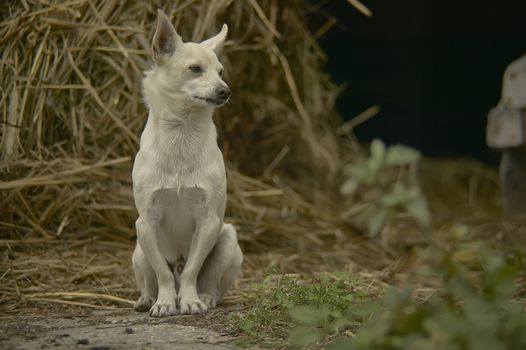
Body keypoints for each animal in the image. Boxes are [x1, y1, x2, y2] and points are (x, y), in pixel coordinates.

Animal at [134, 10, 245, 318]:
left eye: (220, 72)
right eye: (195, 69)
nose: (225, 91)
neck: (182, 133)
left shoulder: (208, 222)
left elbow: (192, 271)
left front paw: (190, 300)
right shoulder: (145, 222)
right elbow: (162, 272)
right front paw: (164, 302)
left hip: (228, 241)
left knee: (210, 282)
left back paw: (205, 296)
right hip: (139, 250)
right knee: (152, 278)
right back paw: (147, 299)